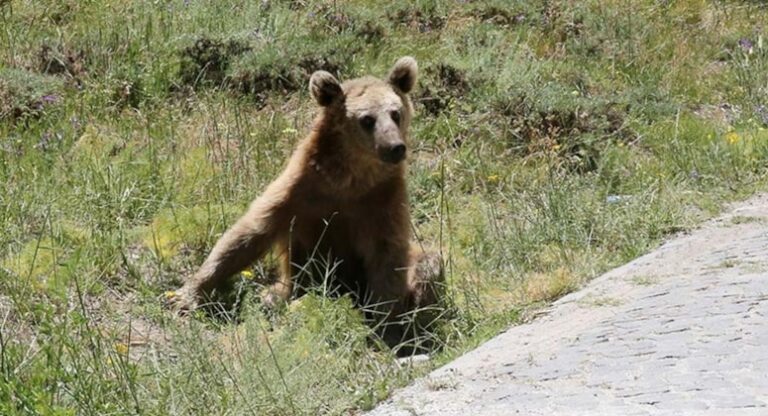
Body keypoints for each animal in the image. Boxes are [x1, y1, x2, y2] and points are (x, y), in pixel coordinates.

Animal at [171, 56, 440, 348]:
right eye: (367, 119)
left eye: (395, 113)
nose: (395, 147)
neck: (350, 179)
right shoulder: (300, 191)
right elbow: (248, 234)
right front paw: (187, 294)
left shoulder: (382, 201)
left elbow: (388, 257)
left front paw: (385, 327)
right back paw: (273, 297)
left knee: (430, 263)